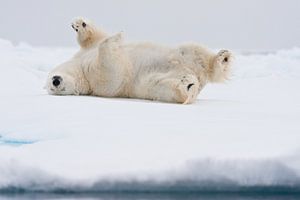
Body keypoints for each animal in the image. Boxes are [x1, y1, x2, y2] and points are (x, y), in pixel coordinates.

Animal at [45, 17, 232, 104]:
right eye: (52, 88)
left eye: (50, 80)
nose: (56, 81)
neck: (81, 70)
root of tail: (199, 76)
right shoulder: (97, 83)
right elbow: (111, 74)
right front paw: (116, 37)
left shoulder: (85, 53)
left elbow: (95, 38)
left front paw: (79, 24)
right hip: (156, 85)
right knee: (168, 88)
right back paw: (188, 85)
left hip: (185, 55)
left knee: (195, 51)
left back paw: (223, 57)